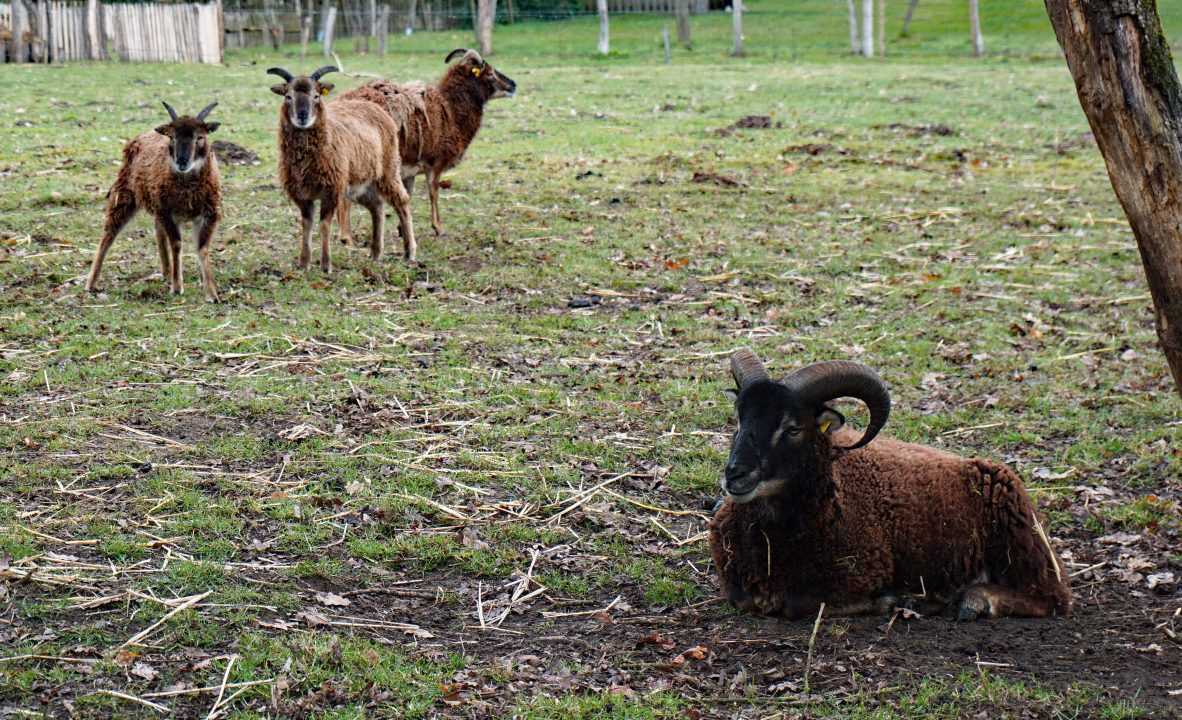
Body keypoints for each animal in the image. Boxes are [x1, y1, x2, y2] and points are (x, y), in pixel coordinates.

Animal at [86, 101, 222, 302]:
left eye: (200, 137)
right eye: (172, 137)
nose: (182, 161)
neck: (187, 187)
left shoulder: (208, 213)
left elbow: (202, 248)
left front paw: (212, 294)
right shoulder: (168, 212)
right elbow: (177, 244)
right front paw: (177, 287)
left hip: (156, 203)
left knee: (158, 231)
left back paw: (167, 273)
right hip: (125, 194)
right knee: (109, 234)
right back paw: (91, 283)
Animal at [268, 65, 416, 269]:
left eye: (316, 96)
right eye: (288, 96)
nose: (302, 116)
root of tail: (373, 106)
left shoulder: (331, 190)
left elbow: (324, 224)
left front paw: (326, 265)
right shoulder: (301, 194)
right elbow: (307, 224)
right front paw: (303, 263)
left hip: (388, 170)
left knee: (402, 202)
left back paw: (410, 252)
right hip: (360, 182)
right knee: (377, 207)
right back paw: (375, 253)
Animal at [335, 47, 517, 241]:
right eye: (489, 73)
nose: (513, 85)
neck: (451, 110)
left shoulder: (409, 170)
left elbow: (408, 195)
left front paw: (402, 229)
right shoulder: (435, 162)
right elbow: (433, 192)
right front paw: (439, 229)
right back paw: (347, 237)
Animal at [709, 348, 1073, 621]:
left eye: (793, 428)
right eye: (740, 418)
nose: (735, 475)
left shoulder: (863, 573)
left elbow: (797, 604)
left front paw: (884, 601)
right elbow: (743, 598)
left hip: (1020, 540)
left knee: (1051, 597)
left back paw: (972, 600)